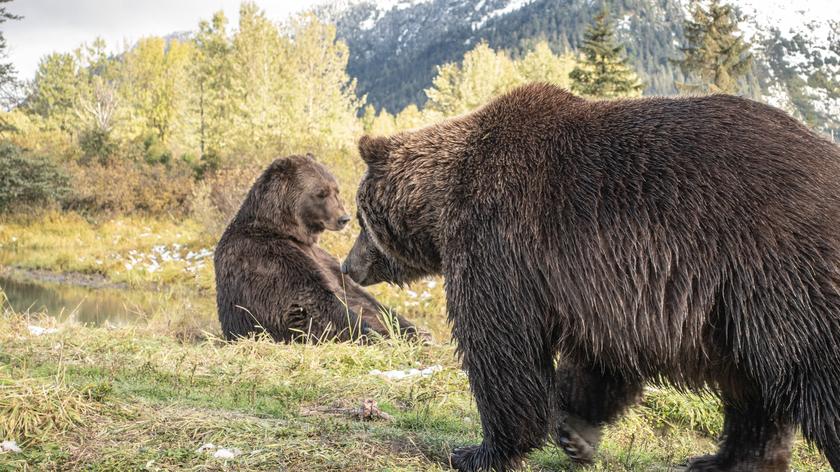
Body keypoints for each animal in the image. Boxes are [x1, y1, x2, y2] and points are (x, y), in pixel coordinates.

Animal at [215, 155, 420, 342]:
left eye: (336, 190)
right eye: (321, 193)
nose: (343, 218)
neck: (287, 231)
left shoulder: (324, 259)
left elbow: (362, 296)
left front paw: (412, 330)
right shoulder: (268, 258)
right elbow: (315, 304)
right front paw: (381, 335)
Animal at [342, 85, 840, 472]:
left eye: (361, 217)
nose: (349, 265)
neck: (442, 202)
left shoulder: (500, 240)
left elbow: (501, 348)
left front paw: (478, 451)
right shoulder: (606, 288)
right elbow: (600, 361)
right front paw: (575, 431)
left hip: (776, 269)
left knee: (811, 372)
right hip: (737, 307)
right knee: (753, 387)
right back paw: (722, 459)